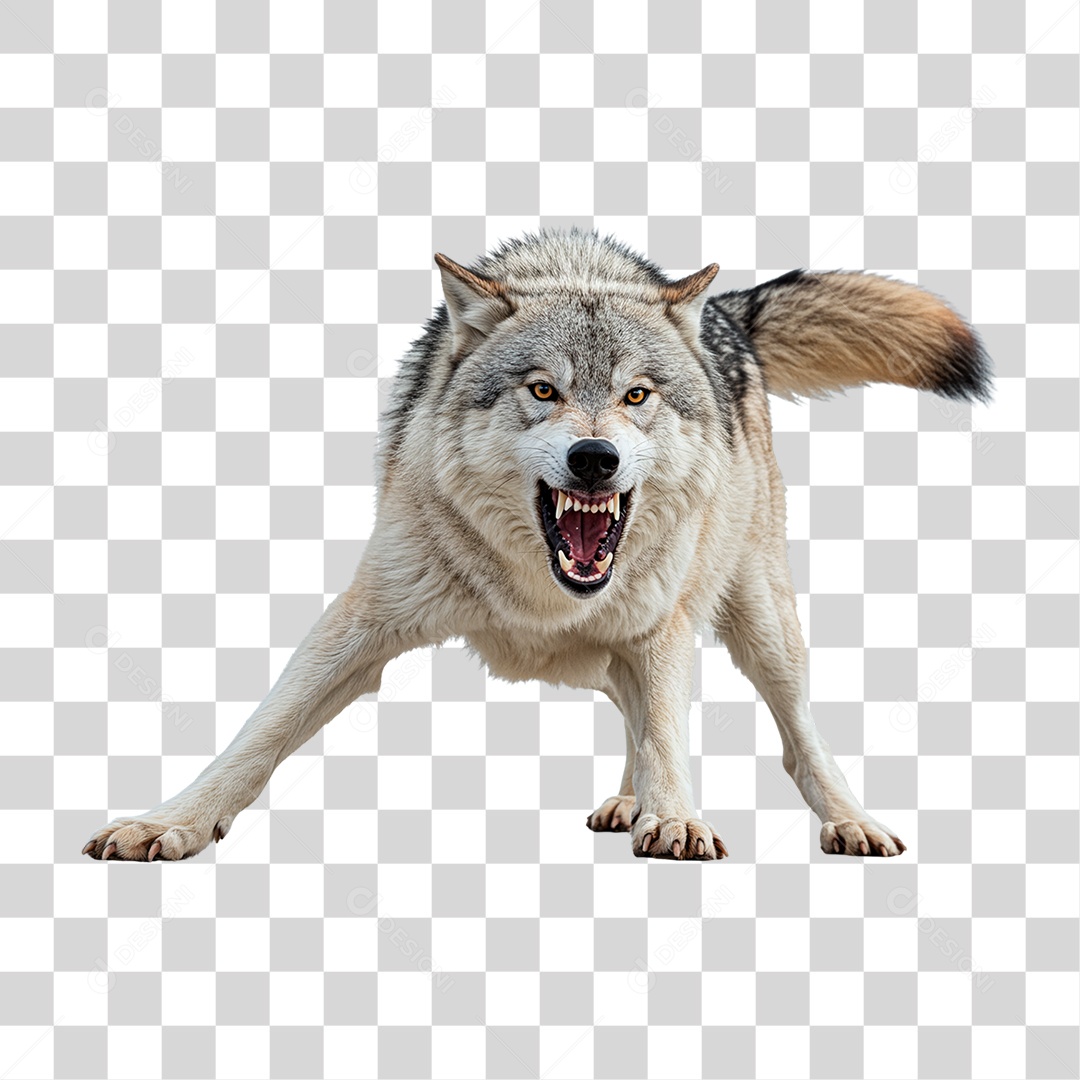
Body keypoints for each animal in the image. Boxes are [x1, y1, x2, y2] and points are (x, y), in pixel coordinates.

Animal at [83, 230, 991, 862]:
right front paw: (171, 824)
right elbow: (259, 735)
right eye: (543, 390)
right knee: (632, 710)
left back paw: (848, 822)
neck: (544, 594)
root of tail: (724, 315)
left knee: (795, 737)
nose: (595, 458)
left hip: (761, 623)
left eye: (636, 396)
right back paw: (627, 802)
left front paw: (676, 818)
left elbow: (668, 730)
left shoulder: (659, 625)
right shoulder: (363, 620)